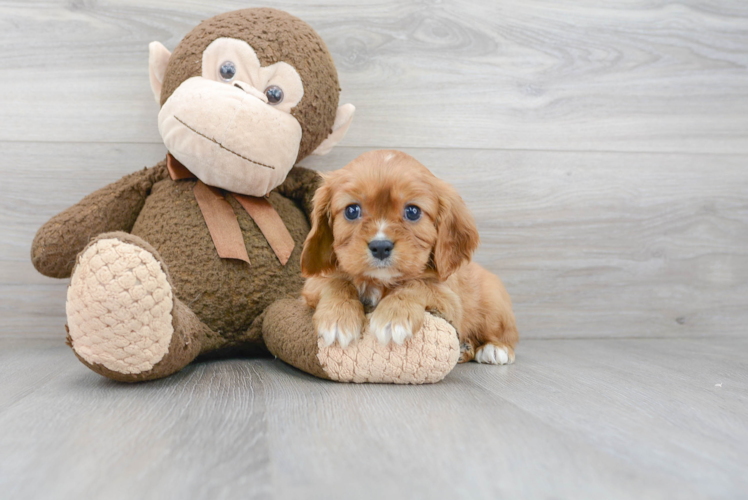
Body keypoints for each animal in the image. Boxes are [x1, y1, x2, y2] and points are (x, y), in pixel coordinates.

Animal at [300, 148, 516, 364]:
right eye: (352, 210)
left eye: (412, 211)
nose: (380, 247)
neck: (379, 282)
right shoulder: (314, 282)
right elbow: (337, 282)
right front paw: (337, 317)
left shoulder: (449, 298)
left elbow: (417, 283)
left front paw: (394, 316)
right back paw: (466, 348)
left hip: (494, 305)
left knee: (506, 334)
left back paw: (494, 348)